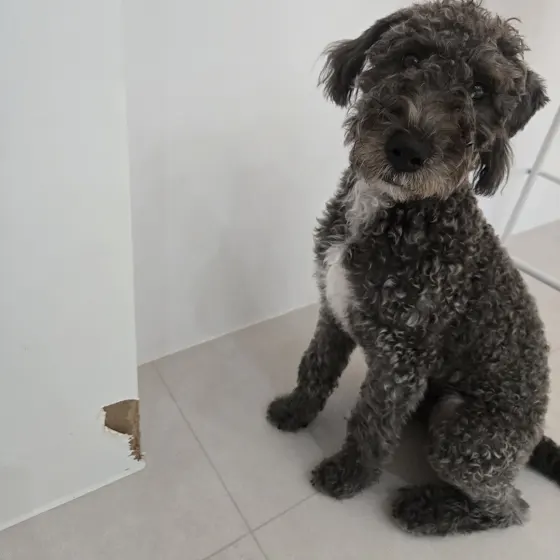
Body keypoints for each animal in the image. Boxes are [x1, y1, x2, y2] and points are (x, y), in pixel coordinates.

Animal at [267, 0, 560, 536]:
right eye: (410, 57)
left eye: (480, 91)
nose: (408, 148)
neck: (394, 212)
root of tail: (533, 439)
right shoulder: (332, 309)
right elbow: (315, 366)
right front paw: (296, 410)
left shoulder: (399, 365)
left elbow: (370, 424)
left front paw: (347, 475)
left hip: (464, 437)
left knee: (509, 507)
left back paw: (427, 509)